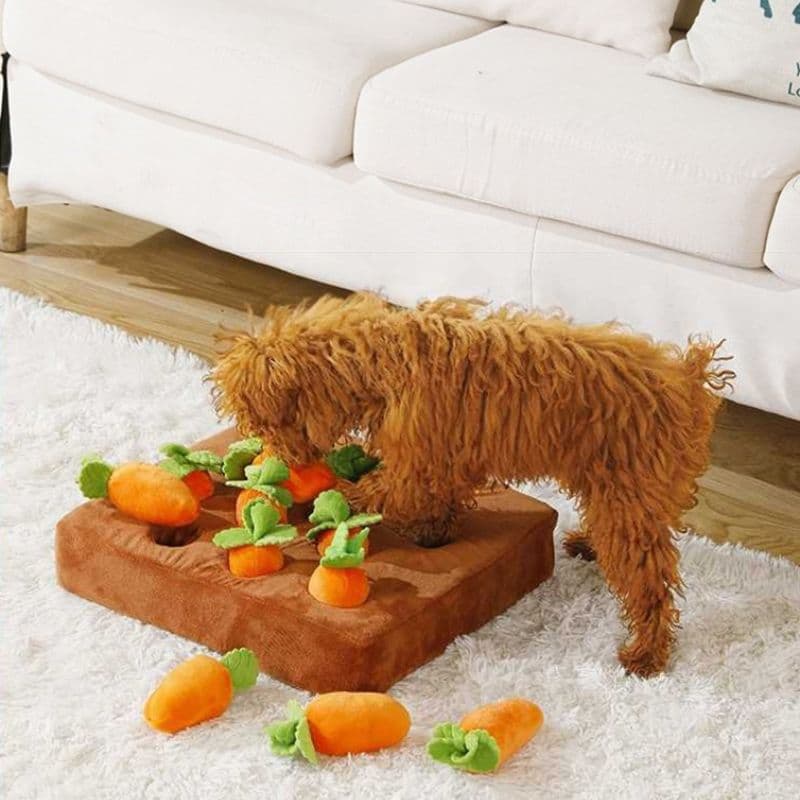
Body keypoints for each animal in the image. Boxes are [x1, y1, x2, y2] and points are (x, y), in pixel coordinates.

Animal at [212, 294, 732, 676]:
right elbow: (438, 501)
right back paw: (589, 545)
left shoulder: (414, 463)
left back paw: (645, 652)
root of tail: (688, 377)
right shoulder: (444, 461)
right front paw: (434, 533)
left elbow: (382, 491)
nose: (274, 458)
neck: (378, 359)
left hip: (628, 493)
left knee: (650, 581)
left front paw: (328, 501)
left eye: (264, 419)